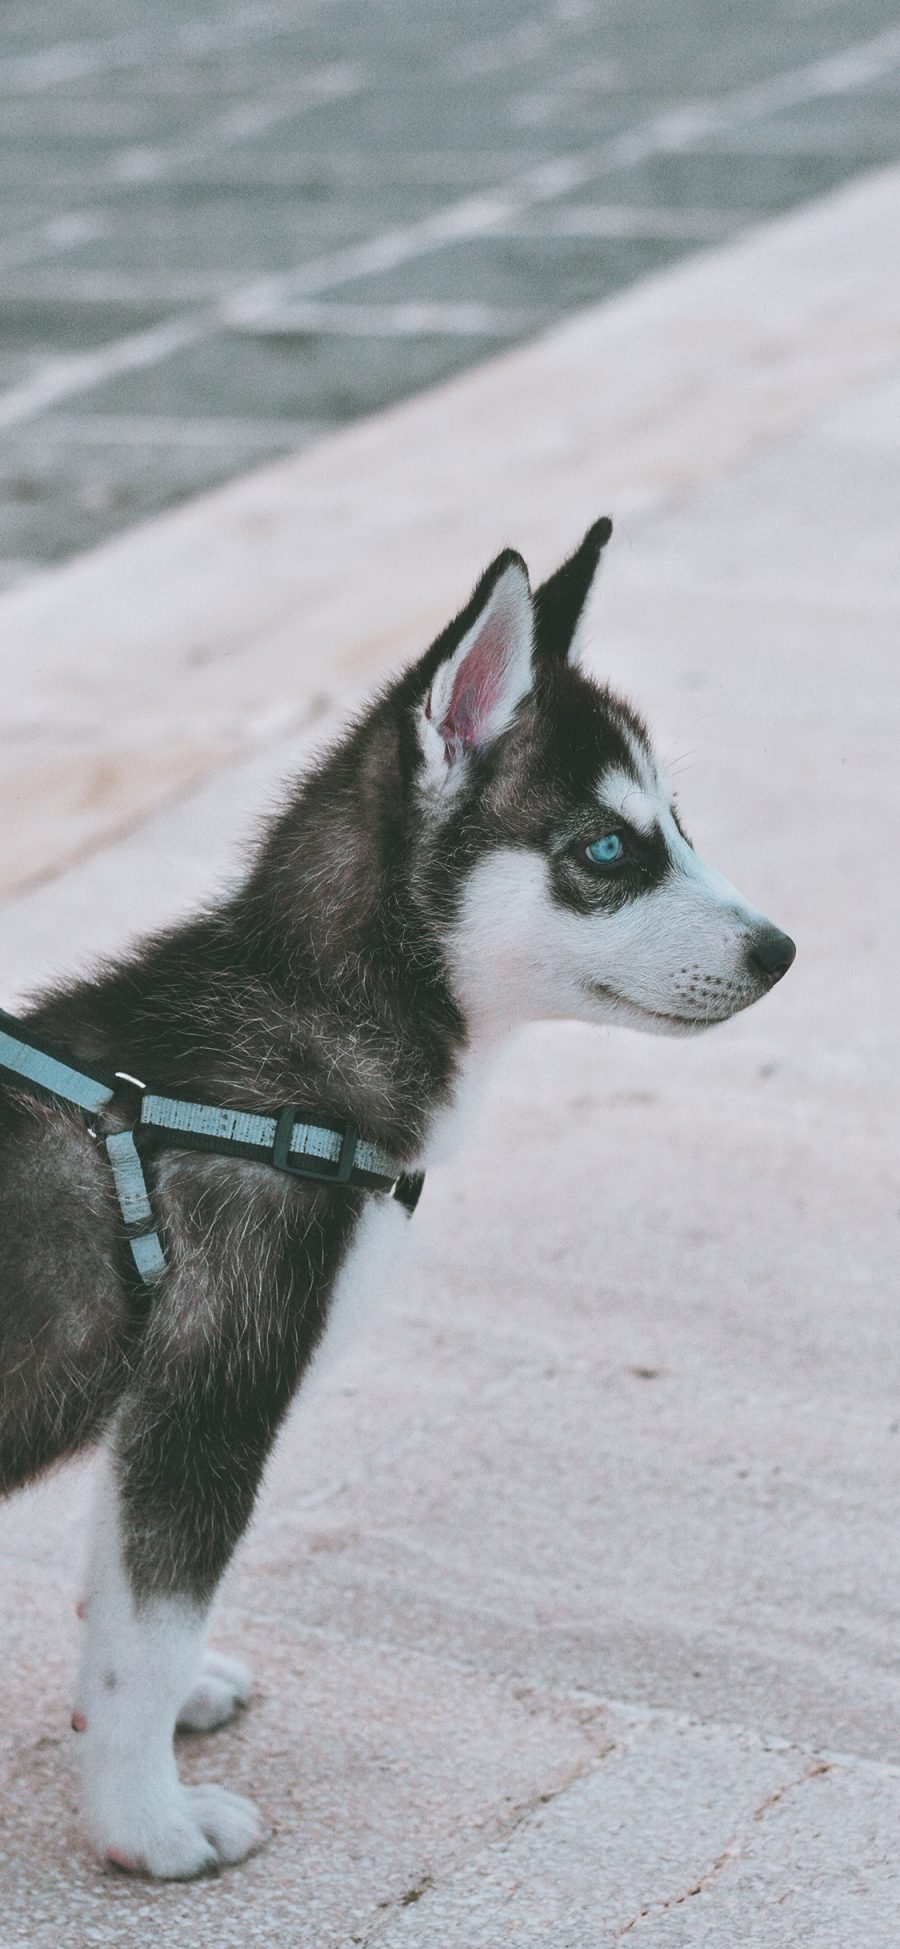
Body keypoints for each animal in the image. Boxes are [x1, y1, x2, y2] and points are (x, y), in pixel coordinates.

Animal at [0, 518, 794, 1871]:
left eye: (679, 827)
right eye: (608, 851)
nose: (781, 949)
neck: (299, 1043)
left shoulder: (166, 1400)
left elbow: (125, 1604)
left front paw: (152, 1727)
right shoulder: (216, 1381)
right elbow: (151, 1622)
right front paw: (147, 1821)